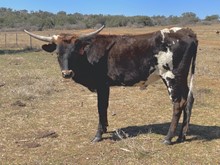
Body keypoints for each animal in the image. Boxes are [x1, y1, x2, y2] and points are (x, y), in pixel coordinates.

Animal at [24, 25, 198, 144]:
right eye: (58, 53)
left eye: (74, 51)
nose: (67, 73)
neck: (88, 55)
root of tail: (187, 31)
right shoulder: (105, 86)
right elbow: (104, 107)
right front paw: (105, 128)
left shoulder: (102, 85)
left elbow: (101, 107)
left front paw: (98, 135)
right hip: (182, 78)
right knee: (189, 100)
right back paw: (182, 135)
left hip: (171, 77)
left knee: (178, 103)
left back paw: (168, 138)